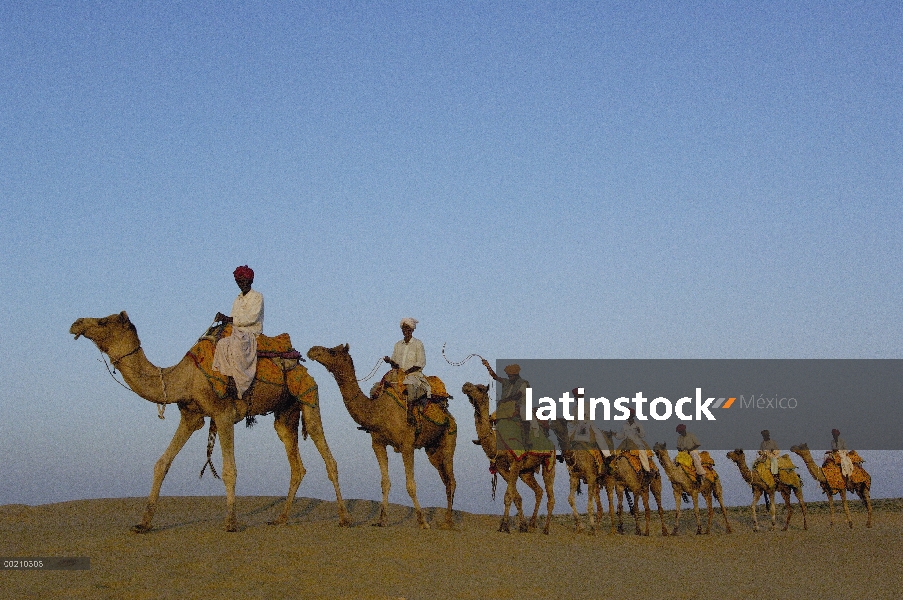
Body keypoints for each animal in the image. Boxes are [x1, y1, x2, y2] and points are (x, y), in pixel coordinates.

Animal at [69, 312, 352, 532]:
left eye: (104, 321)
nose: (76, 323)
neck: (184, 377)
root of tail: (299, 363)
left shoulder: (222, 414)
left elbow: (229, 470)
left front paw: (231, 522)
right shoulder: (190, 417)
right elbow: (162, 463)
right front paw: (143, 523)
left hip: (307, 393)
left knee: (325, 452)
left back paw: (344, 518)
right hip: (286, 412)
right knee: (296, 462)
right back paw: (280, 519)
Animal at [308, 344, 460, 528]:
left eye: (332, 351)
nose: (313, 350)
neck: (377, 411)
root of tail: (449, 416)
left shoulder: (407, 445)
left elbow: (411, 485)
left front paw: (423, 521)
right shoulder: (378, 443)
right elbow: (385, 482)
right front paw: (382, 519)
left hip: (449, 437)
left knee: (451, 480)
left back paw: (448, 522)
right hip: (432, 449)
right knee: (445, 479)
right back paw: (447, 519)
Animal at [462, 382, 556, 532]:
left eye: (481, 388)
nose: (466, 385)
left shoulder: (516, 462)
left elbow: (508, 495)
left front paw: (504, 526)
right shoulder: (501, 467)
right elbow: (516, 496)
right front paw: (522, 525)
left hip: (550, 461)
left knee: (550, 496)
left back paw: (546, 529)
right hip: (526, 472)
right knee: (539, 491)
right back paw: (532, 524)